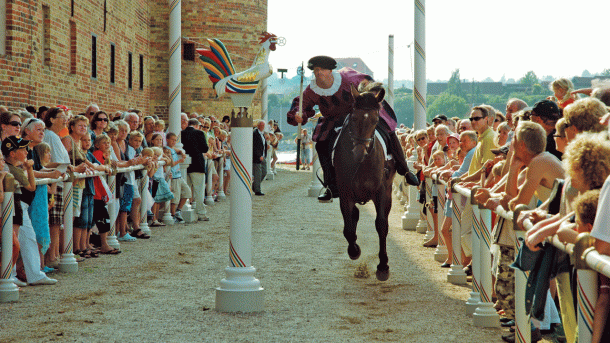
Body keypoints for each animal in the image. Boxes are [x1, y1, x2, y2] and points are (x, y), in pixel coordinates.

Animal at [332, 84, 394, 280]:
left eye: (375, 121)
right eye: (353, 118)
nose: (359, 152)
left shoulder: (381, 192)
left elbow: (381, 225)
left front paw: (383, 266)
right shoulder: (345, 193)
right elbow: (348, 229)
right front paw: (354, 251)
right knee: (354, 217)